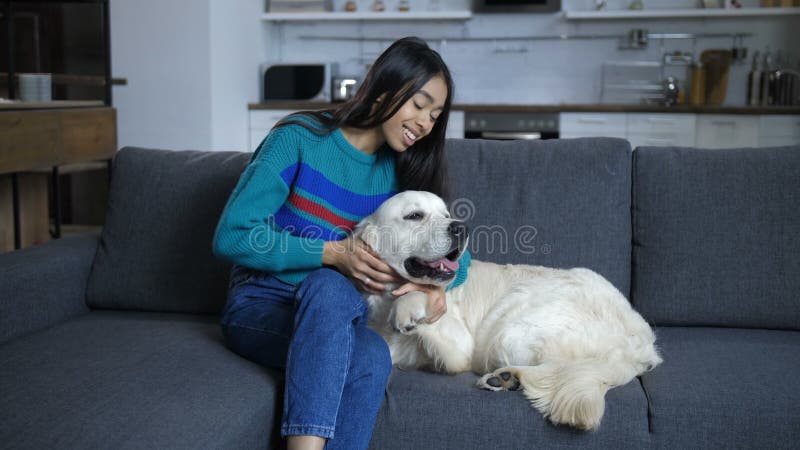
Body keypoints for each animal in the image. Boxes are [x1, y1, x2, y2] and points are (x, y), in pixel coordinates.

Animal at [356, 190, 664, 428]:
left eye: (445, 214)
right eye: (414, 216)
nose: (461, 228)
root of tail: (640, 342)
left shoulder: (459, 347)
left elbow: (420, 297)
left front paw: (407, 307)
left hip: (510, 331)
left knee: (561, 367)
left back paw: (508, 377)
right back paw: (506, 379)